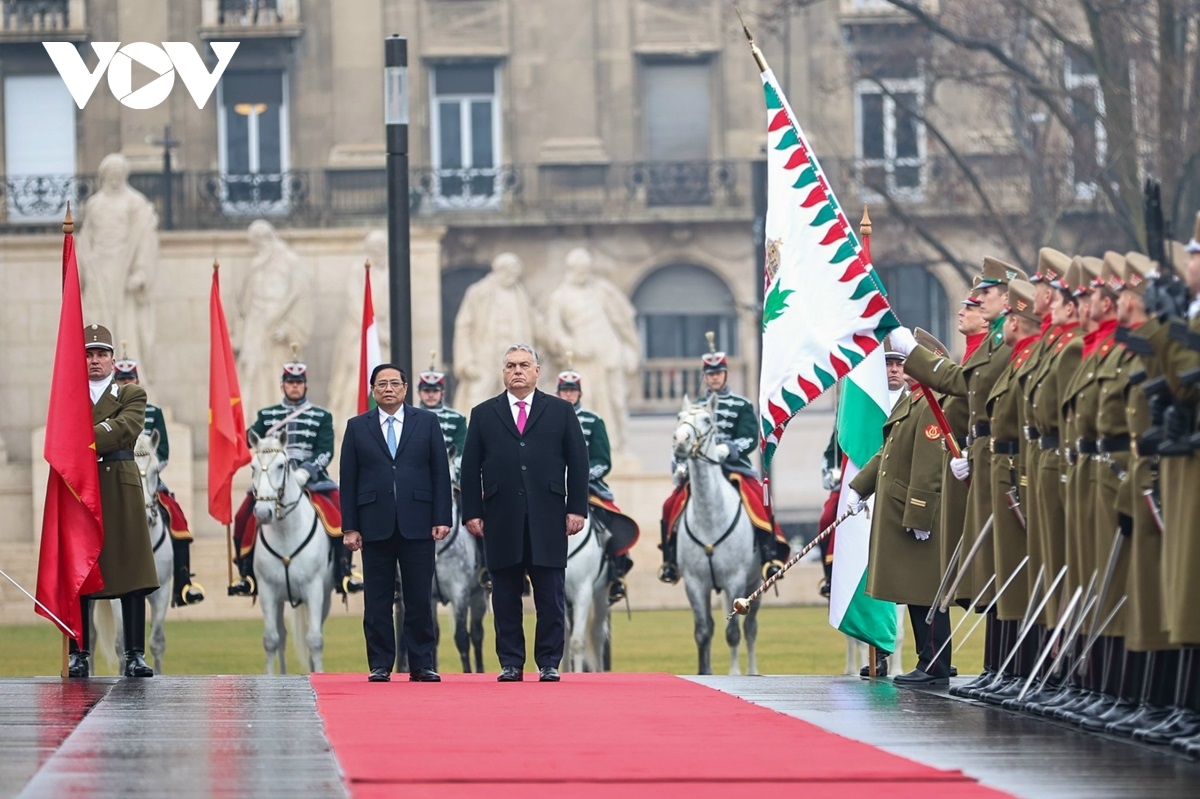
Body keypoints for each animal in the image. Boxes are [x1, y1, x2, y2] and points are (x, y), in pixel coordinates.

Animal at [247, 429, 333, 671]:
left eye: (281, 465)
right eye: (252, 467)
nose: (263, 512)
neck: (286, 533)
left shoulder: (314, 590)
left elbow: (315, 640)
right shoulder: (267, 591)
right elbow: (270, 640)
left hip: (324, 598)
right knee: (282, 637)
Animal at [676, 391, 758, 671]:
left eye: (707, 420)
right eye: (679, 417)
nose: (680, 441)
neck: (709, 518)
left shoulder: (736, 580)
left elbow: (733, 633)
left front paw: (734, 673)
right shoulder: (694, 583)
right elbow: (703, 632)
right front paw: (704, 672)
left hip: (755, 582)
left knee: (750, 628)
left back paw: (751, 671)